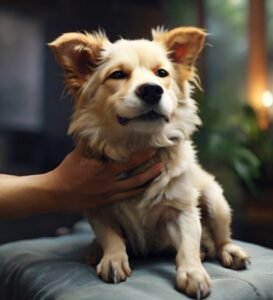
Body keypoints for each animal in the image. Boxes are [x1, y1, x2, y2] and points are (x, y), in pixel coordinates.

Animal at [49, 27, 249, 298]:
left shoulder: (183, 210)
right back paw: (94, 249)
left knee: (221, 236)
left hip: (215, 200)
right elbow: (111, 237)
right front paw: (113, 258)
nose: (152, 90)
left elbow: (188, 244)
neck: (139, 145)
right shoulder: (98, 208)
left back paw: (227, 250)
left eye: (162, 74)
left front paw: (193, 272)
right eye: (117, 75)